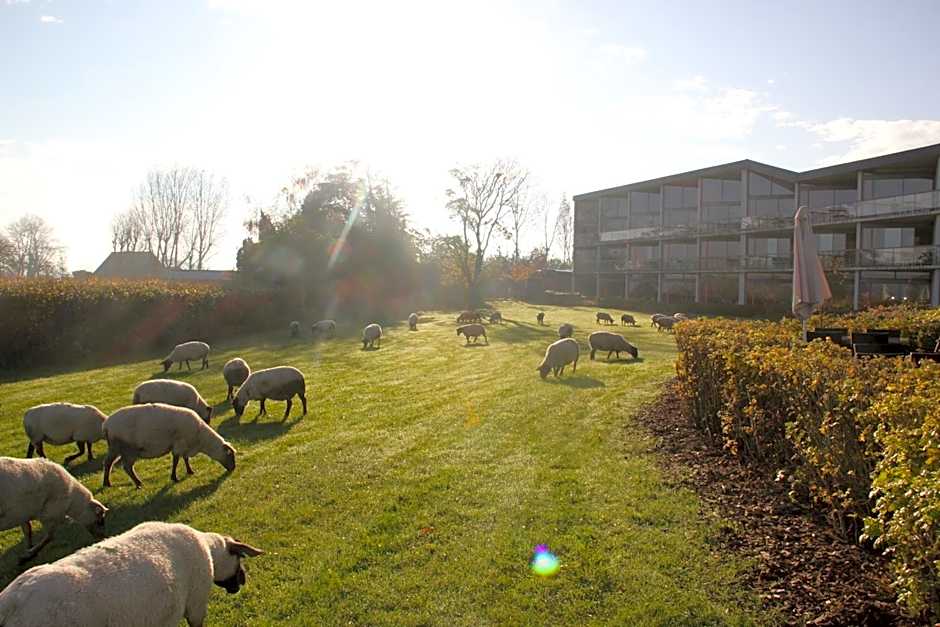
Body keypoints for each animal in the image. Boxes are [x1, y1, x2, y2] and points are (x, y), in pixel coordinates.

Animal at [102, 403, 236, 489]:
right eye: (230, 455)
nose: (233, 468)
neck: (201, 438)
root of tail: (106, 424)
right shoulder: (179, 444)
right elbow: (176, 461)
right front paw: (174, 478)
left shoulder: (185, 446)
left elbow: (185, 459)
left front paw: (190, 471)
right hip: (127, 449)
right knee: (126, 467)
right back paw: (138, 483)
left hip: (116, 448)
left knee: (109, 463)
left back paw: (107, 483)